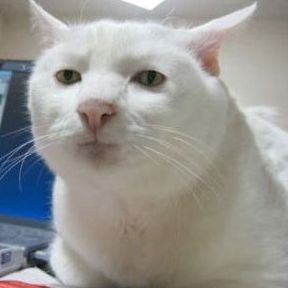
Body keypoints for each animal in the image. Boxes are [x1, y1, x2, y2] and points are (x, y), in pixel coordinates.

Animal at [28, 1, 288, 286]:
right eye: (67, 76)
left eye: (150, 78)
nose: (94, 108)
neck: (130, 211)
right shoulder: (68, 257)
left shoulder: (262, 272)